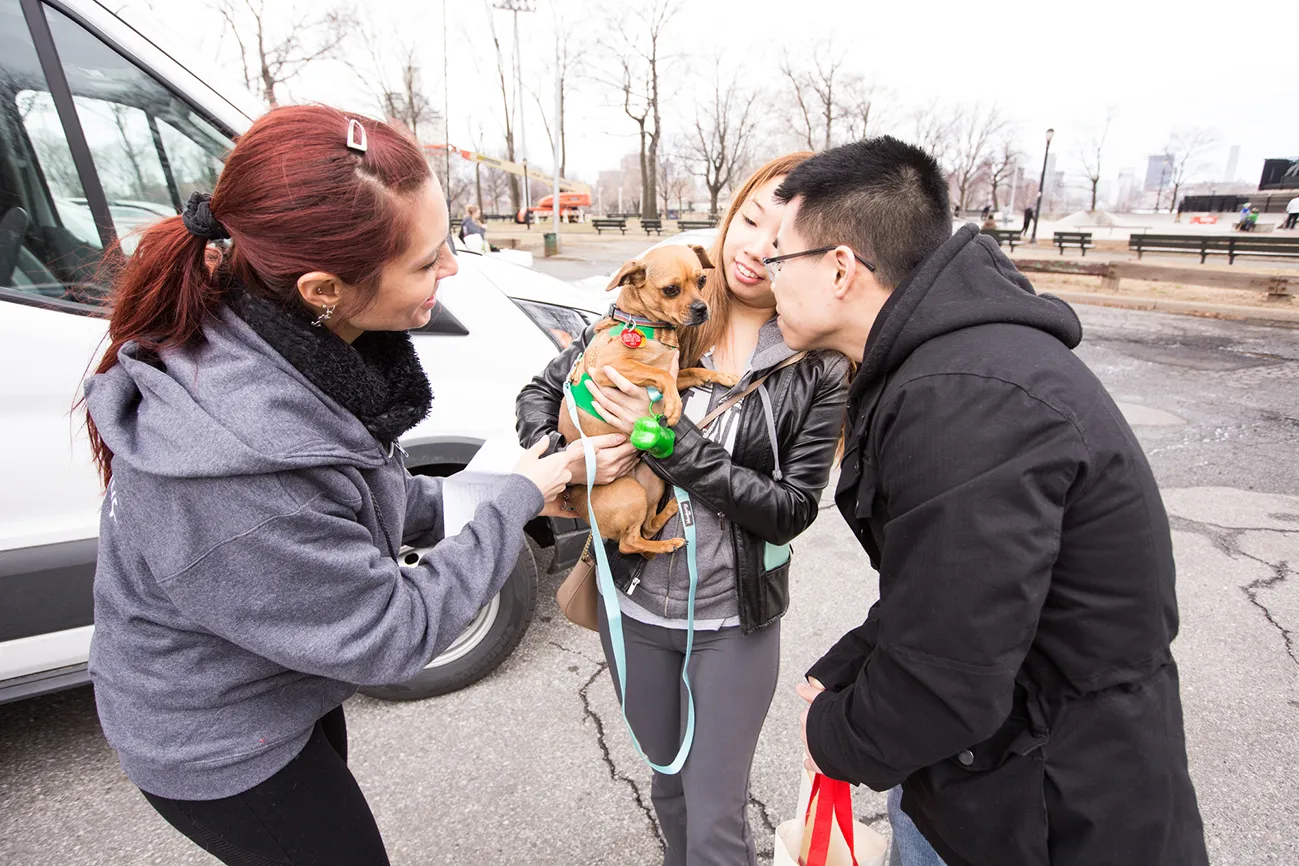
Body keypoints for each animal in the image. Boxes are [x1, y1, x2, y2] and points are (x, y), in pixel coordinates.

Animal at [561, 244, 743, 558]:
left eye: (702, 281)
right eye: (671, 289)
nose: (702, 308)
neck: (645, 325)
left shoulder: (676, 370)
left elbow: (689, 371)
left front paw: (722, 376)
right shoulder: (610, 369)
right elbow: (660, 373)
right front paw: (673, 406)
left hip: (652, 482)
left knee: (645, 527)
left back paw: (669, 515)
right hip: (631, 494)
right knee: (628, 543)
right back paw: (666, 543)